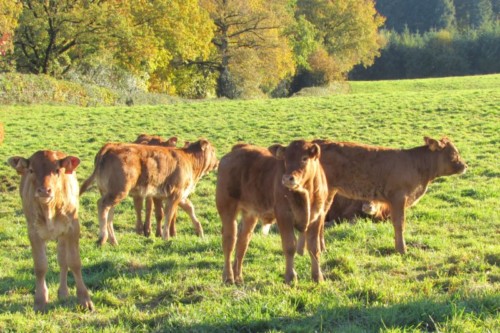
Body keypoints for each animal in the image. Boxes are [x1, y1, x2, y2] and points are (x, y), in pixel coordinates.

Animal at [7, 150, 93, 312]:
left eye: (57, 170)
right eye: (31, 170)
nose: (44, 190)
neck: (50, 209)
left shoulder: (72, 228)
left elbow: (74, 262)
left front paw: (84, 299)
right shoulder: (33, 232)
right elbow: (40, 266)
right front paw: (40, 300)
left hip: (63, 235)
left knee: (63, 260)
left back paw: (64, 292)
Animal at [79, 139, 217, 245]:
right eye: (213, 150)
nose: (217, 162)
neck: (189, 159)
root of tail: (110, 146)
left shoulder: (180, 195)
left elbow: (189, 208)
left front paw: (200, 231)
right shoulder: (175, 194)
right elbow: (168, 215)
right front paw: (166, 237)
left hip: (109, 192)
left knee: (109, 213)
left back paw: (113, 241)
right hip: (118, 191)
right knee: (102, 205)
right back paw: (103, 238)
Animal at [314, 136, 466, 253]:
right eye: (454, 153)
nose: (465, 166)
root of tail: (321, 142)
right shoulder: (398, 197)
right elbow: (399, 223)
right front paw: (402, 250)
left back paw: (322, 249)